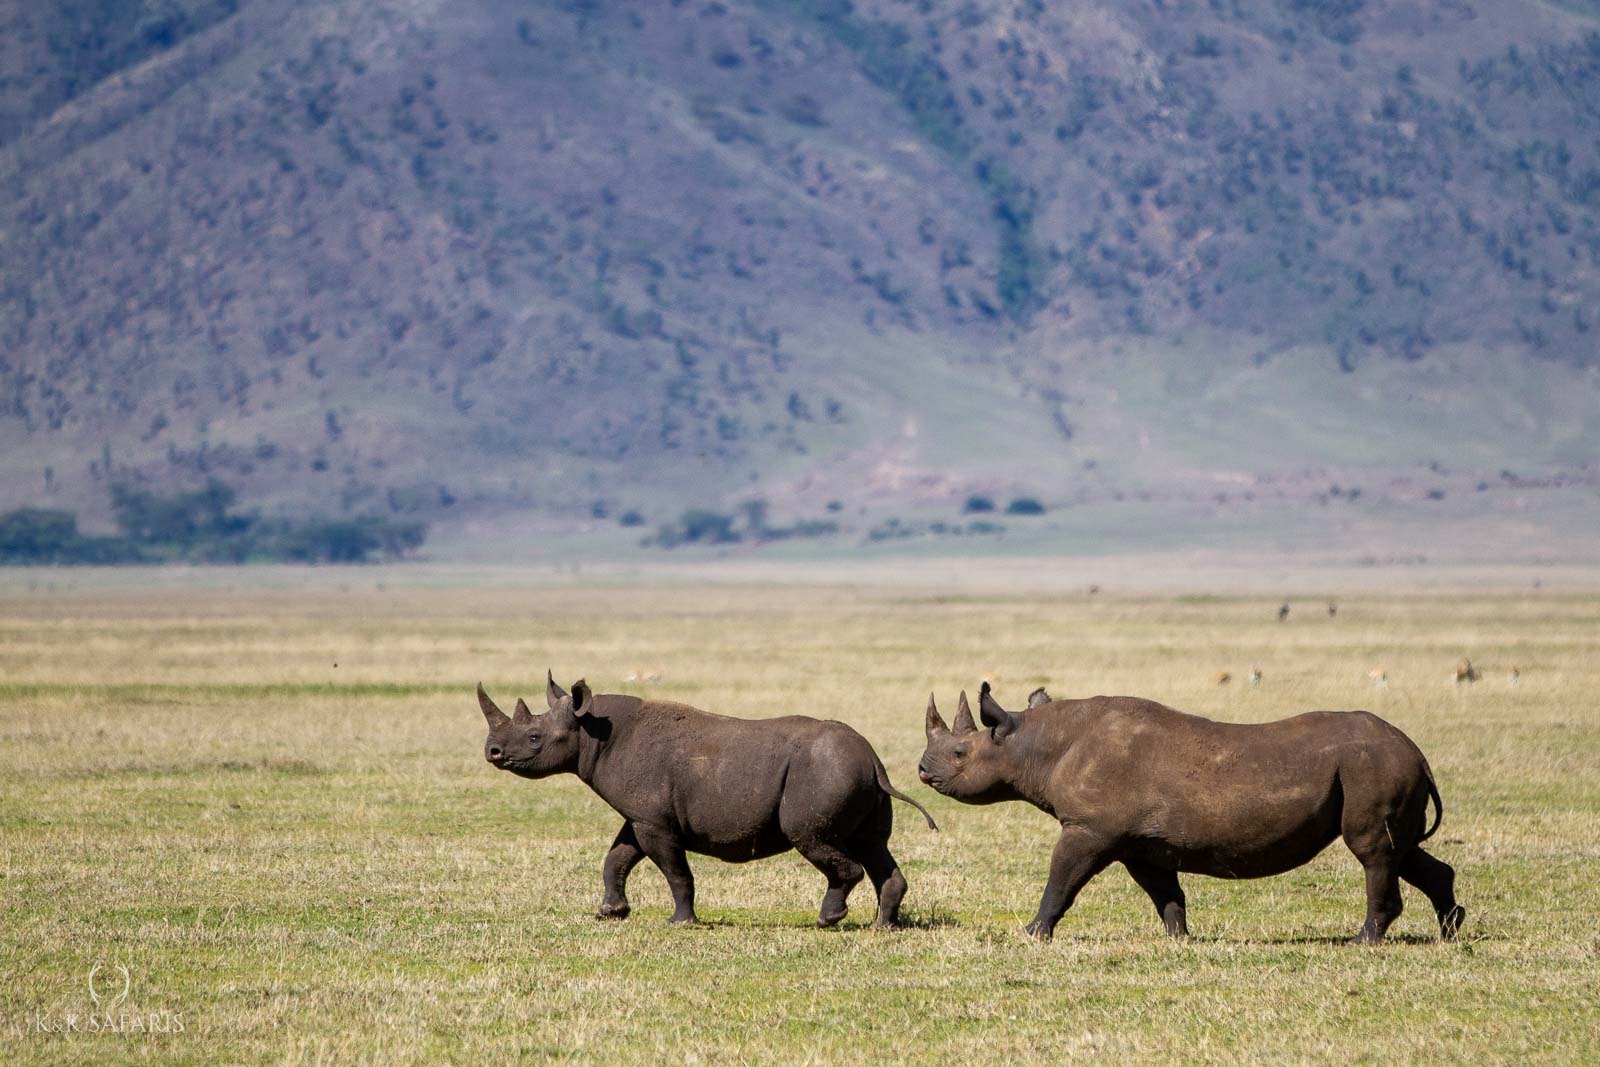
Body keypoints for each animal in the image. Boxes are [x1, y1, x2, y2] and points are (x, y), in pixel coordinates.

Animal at [478, 673, 936, 928]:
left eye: (534, 738)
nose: (492, 752)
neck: (591, 730)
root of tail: (873, 758)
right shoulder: (641, 816)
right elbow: (616, 858)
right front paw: (610, 913)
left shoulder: (655, 822)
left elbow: (676, 872)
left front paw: (681, 923)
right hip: (850, 773)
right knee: (873, 846)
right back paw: (881, 927)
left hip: (824, 771)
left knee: (812, 838)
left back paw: (828, 920)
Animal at [917, 682, 1464, 944]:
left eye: (960, 753)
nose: (923, 769)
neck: (1034, 744)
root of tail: (1417, 751)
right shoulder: (1138, 842)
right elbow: (1165, 893)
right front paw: (1180, 939)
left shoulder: (1089, 828)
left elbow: (1062, 880)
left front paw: (1032, 934)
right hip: (1381, 767)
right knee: (1402, 851)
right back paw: (1450, 931)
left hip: (1372, 766)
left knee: (1372, 851)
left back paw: (1361, 942)